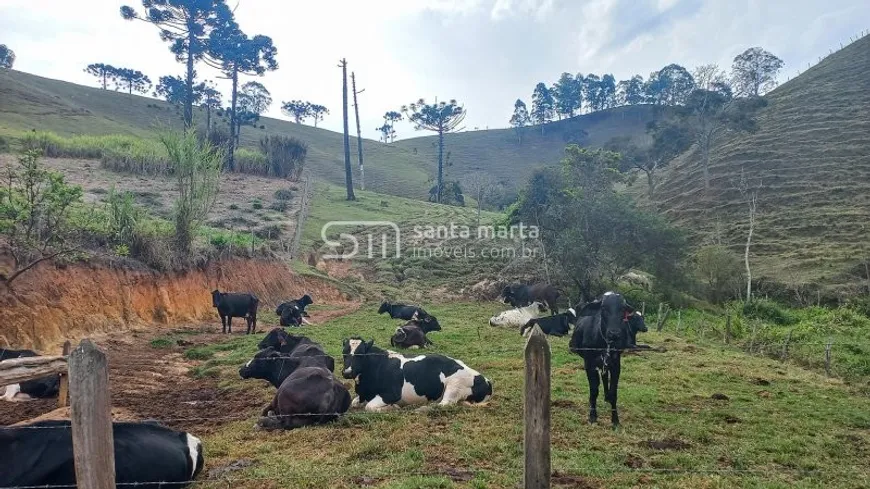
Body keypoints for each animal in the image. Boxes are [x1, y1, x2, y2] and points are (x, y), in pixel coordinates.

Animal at [342, 338, 494, 410]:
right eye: (344, 353)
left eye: (361, 354)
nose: (347, 372)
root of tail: (486, 381)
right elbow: (354, 402)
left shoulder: (391, 394)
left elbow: (369, 407)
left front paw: (393, 407)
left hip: (454, 385)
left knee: (444, 404)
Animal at [568, 294, 636, 428]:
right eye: (604, 307)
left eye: (623, 309)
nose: (614, 333)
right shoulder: (589, 364)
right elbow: (594, 390)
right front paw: (592, 416)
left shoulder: (616, 364)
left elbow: (614, 392)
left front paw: (615, 420)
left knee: (604, 378)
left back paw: (607, 397)